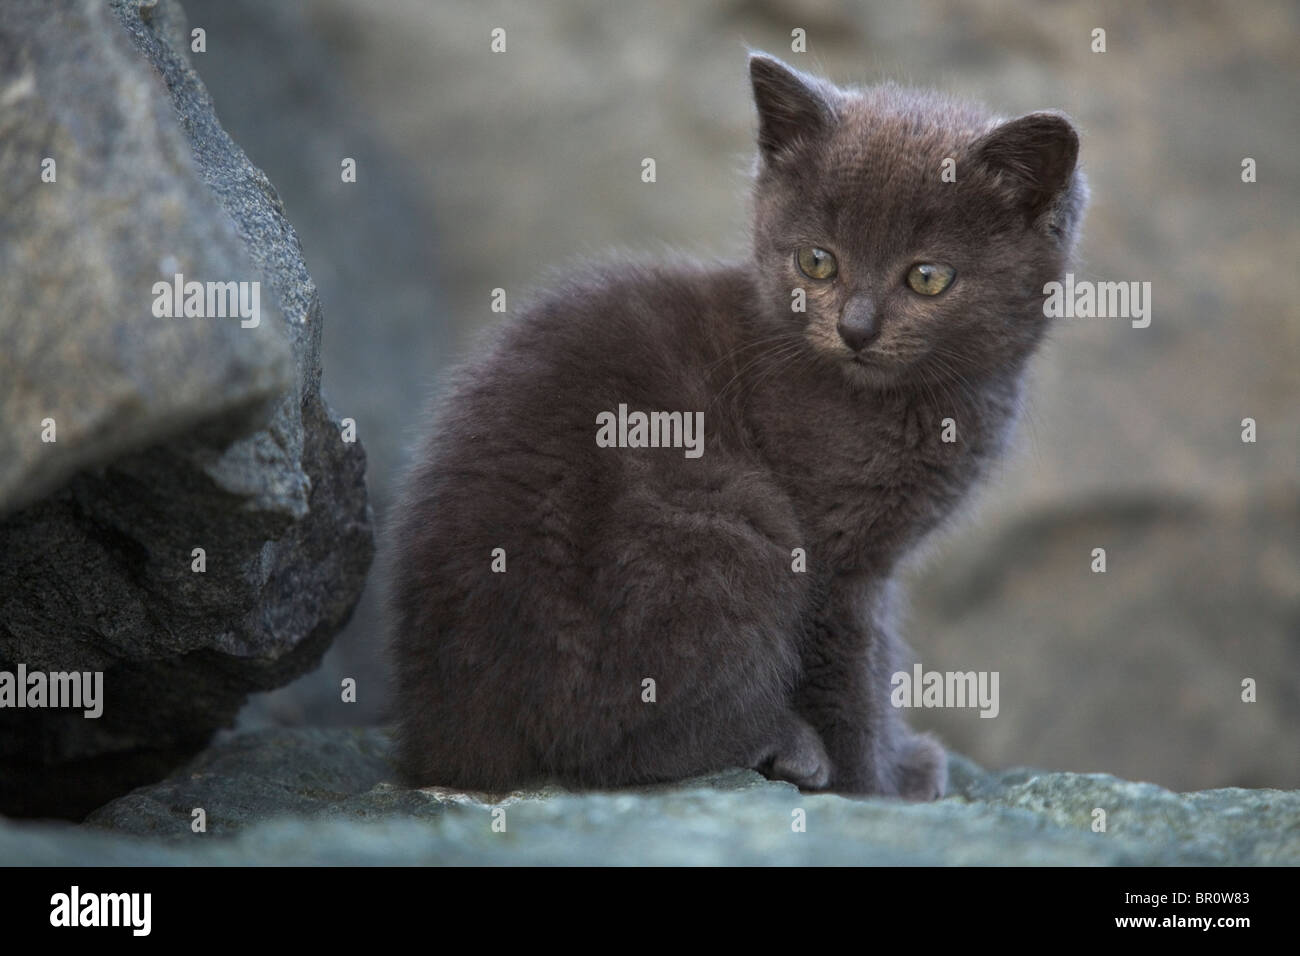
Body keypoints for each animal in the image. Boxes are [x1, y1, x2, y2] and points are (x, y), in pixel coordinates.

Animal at [384, 52, 1086, 801]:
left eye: (928, 277)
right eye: (817, 261)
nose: (855, 329)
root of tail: (442, 735)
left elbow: (881, 654)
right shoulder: (835, 556)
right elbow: (851, 674)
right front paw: (878, 784)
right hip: (728, 517)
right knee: (609, 739)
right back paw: (787, 746)